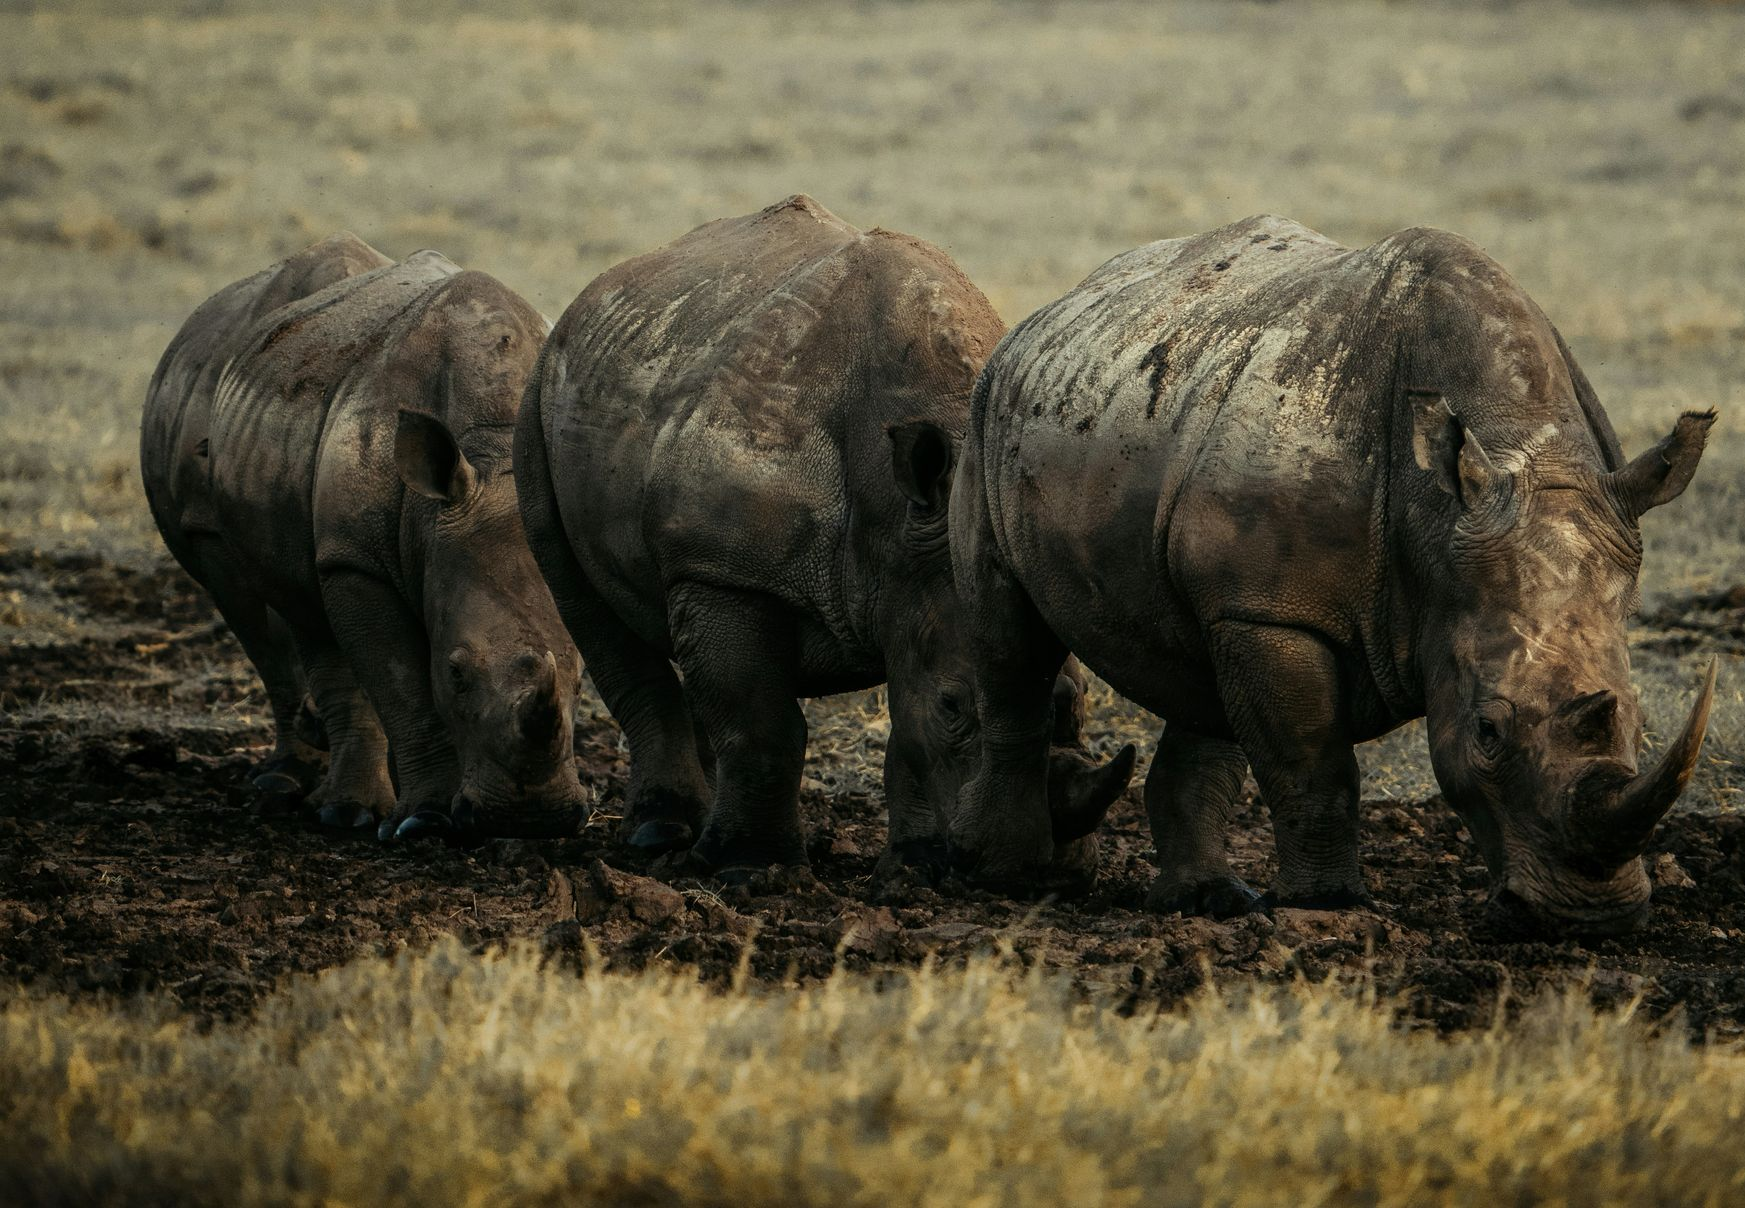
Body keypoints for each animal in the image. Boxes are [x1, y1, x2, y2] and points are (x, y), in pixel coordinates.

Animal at [142, 233, 587, 841]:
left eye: (584, 680)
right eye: (456, 673)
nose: (530, 820)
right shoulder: (355, 558)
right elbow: (403, 687)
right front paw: (423, 822)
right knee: (277, 622)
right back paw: (316, 799)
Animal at [515, 195, 1133, 881]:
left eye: (1081, 699)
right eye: (953, 706)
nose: (1058, 871)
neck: (900, 516)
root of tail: (599, 291)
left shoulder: (910, 581)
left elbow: (903, 730)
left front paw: (914, 867)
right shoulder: (722, 568)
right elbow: (763, 720)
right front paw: (751, 870)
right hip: (537, 394)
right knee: (591, 612)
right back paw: (661, 836)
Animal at [950, 215, 1717, 934]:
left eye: (1638, 720)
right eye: (1486, 733)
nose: (1589, 918)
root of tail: (1044, 315)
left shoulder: (1256, 598)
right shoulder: (1271, 609)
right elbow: (1312, 763)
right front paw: (1327, 905)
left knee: (1199, 678)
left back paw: (1204, 901)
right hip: (986, 418)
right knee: (1009, 648)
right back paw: (1013, 878)